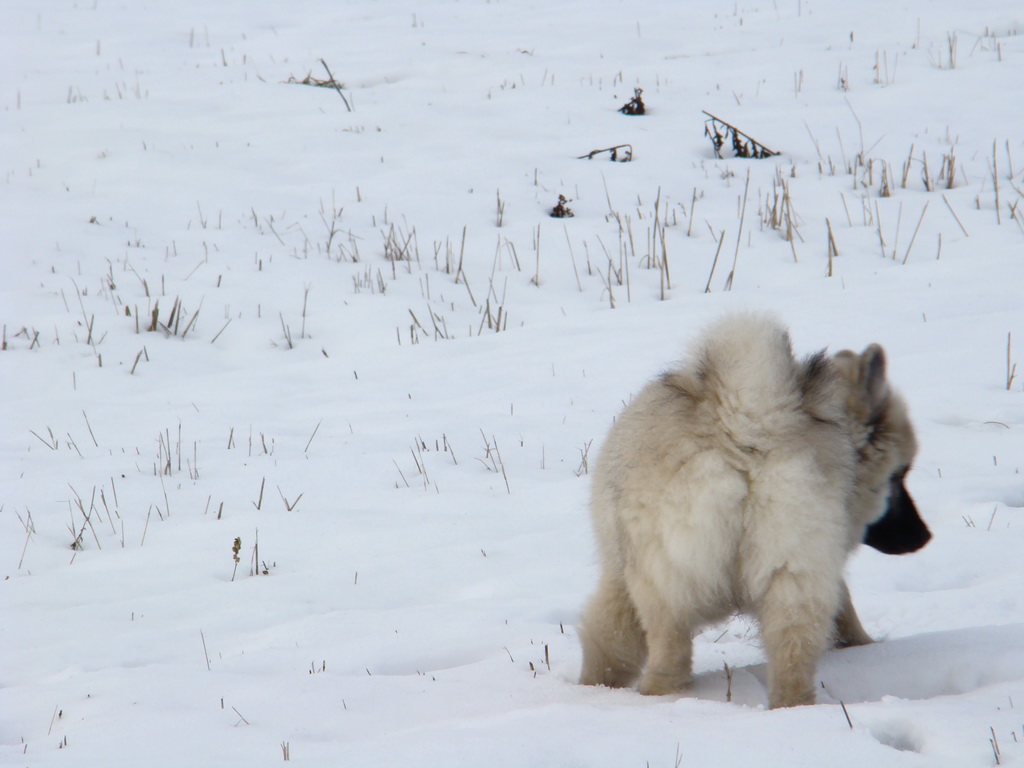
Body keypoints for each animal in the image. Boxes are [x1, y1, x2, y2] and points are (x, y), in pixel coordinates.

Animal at [581, 313, 933, 708]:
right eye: (899, 475)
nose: (924, 536)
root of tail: (747, 425)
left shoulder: (623, 578)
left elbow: (608, 646)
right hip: (791, 573)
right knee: (792, 660)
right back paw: (792, 708)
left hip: (669, 591)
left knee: (668, 665)